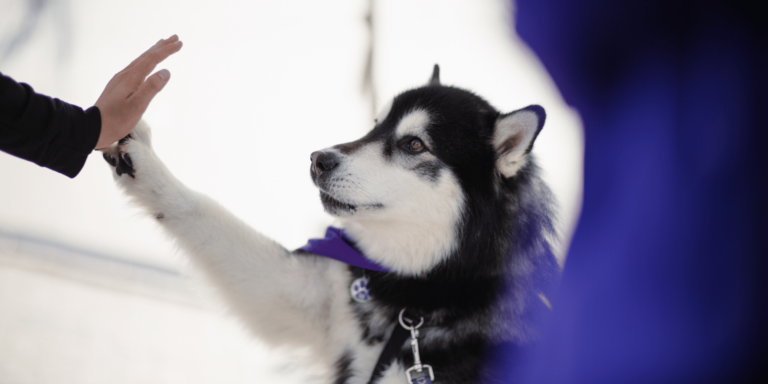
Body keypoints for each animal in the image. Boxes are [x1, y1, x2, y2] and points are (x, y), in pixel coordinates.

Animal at [102, 67, 560, 384]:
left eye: (415, 144)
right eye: (375, 125)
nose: (318, 159)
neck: (416, 298)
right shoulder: (307, 296)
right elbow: (197, 208)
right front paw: (143, 160)